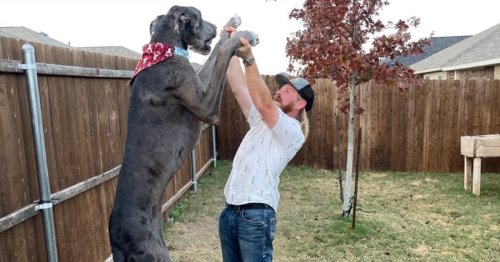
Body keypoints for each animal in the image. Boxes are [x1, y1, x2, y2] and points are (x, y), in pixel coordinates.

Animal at [108, 6, 260, 262]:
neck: (165, 49)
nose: (214, 25)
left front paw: (231, 25)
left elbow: (216, 52)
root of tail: (115, 241)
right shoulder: (206, 107)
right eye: (200, 17)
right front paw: (244, 36)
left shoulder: (200, 83)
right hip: (153, 254)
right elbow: (222, 54)